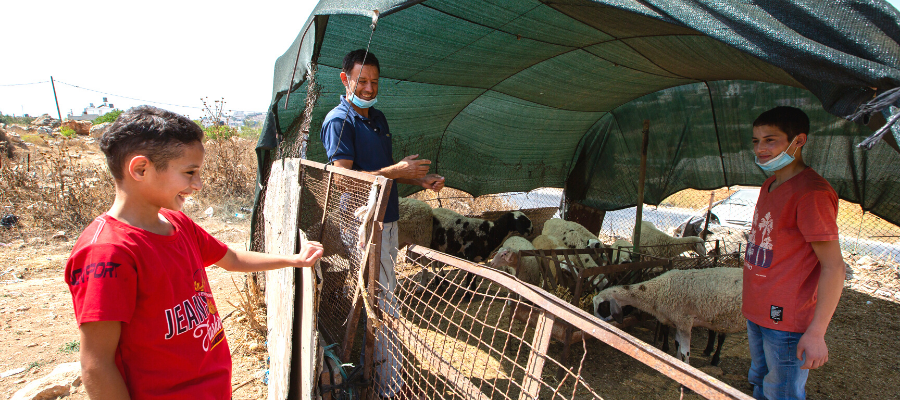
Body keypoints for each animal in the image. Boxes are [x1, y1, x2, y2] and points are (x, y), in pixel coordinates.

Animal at [592, 268, 744, 366]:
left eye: (603, 306)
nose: (594, 322)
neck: (657, 291)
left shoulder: (684, 322)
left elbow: (685, 352)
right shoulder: (676, 322)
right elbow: (677, 345)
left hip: (725, 318)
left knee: (721, 338)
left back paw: (715, 359)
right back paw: (708, 351)